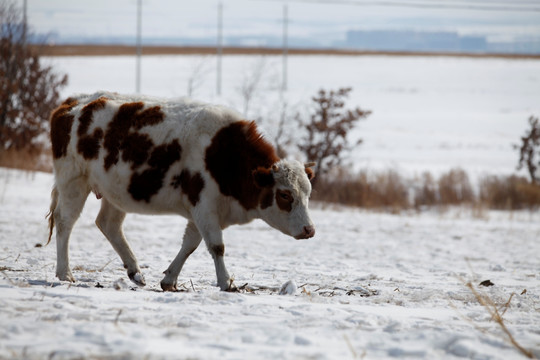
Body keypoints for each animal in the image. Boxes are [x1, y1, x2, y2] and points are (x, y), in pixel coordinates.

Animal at [48, 91, 316, 292]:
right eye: (285, 195)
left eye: (308, 194)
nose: (309, 230)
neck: (223, 154)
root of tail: (72, 104)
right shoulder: (205, 206)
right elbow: (216, 246)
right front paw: (226, 282)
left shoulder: (201, 211)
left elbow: (190, 245)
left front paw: (169, 280)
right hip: (73, 182)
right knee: (65, 221)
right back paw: (65, 273)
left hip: (115, 192)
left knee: (108, 224)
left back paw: (135, 272)